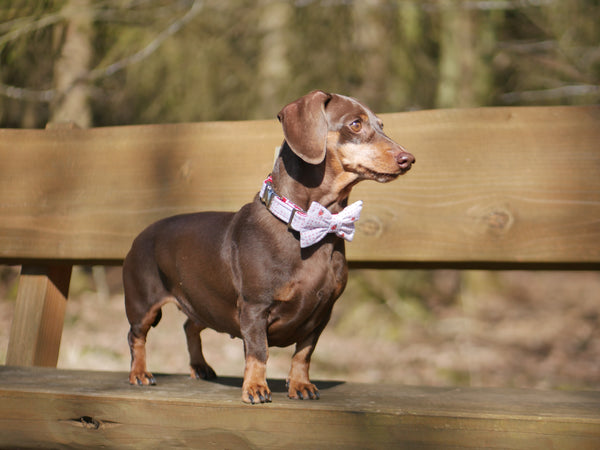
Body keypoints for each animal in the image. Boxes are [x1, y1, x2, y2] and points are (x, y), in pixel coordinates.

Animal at [122, 89, 412, 402]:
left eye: (381, 125)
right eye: (355, 124)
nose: (408, 159)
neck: (306, 226)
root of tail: (141, 234)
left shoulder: (322, 312)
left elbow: (303, 354)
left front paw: (300, 385)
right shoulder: (254, 308)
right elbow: (258, 352)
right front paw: (255, 388)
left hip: (204, 301)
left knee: (190, 326)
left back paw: (199, 367)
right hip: (143, 303)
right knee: (136, 335)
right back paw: (140, 373)